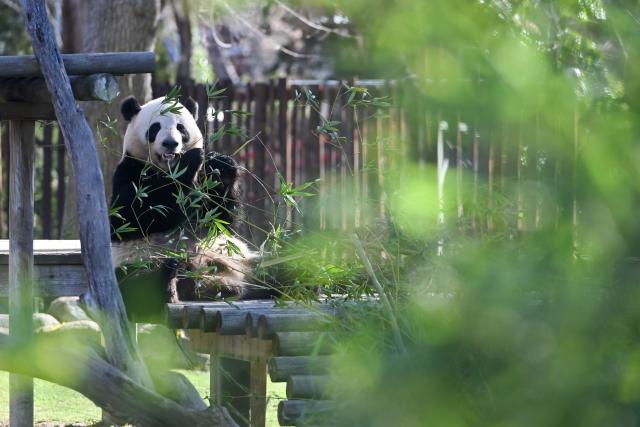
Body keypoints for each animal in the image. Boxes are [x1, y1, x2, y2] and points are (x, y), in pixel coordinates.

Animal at [110, 95, 267, 321]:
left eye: (181, 128)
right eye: (155, 128)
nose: (170, 143)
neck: (166, 171)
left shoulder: (203, 189)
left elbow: (221, 219)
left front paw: (221, 165)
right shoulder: (130, 172)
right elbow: (132, 216)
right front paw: (189, 161)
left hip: (241, 262)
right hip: (136, 261)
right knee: (140, 284)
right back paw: (167, 282)